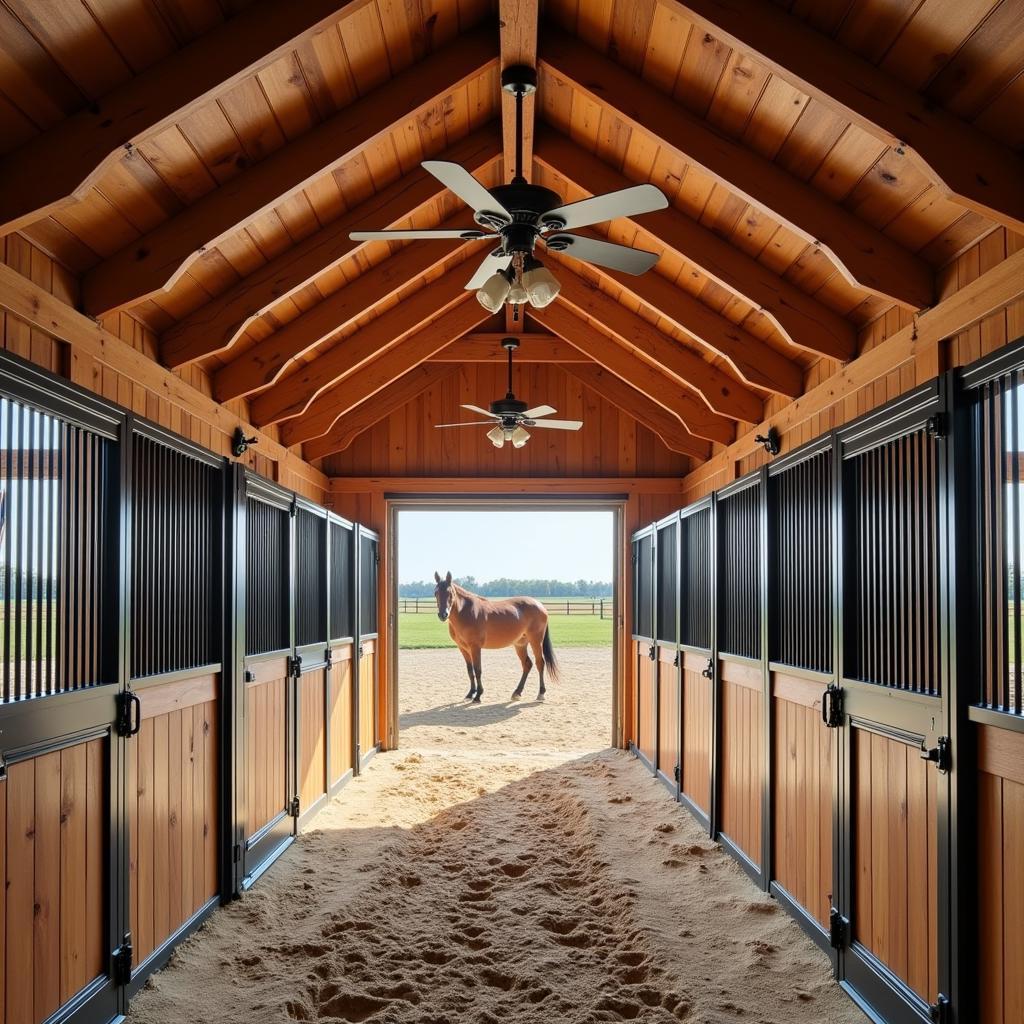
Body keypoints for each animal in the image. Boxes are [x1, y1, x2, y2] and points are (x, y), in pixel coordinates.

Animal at [432, 569, 561, 704]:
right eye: (436, 592)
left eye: (450, 593)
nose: (443, 614)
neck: (467, 612)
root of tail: (540, 606)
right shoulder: (463, 648)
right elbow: (470, 670)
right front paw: (470, 694)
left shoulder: (475, 647)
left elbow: (478, 670)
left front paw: (478, 695)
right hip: (520, 644)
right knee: (527, 664)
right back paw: (517, 692)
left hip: (536, 641)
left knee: (540, 663)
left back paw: (541, 693)